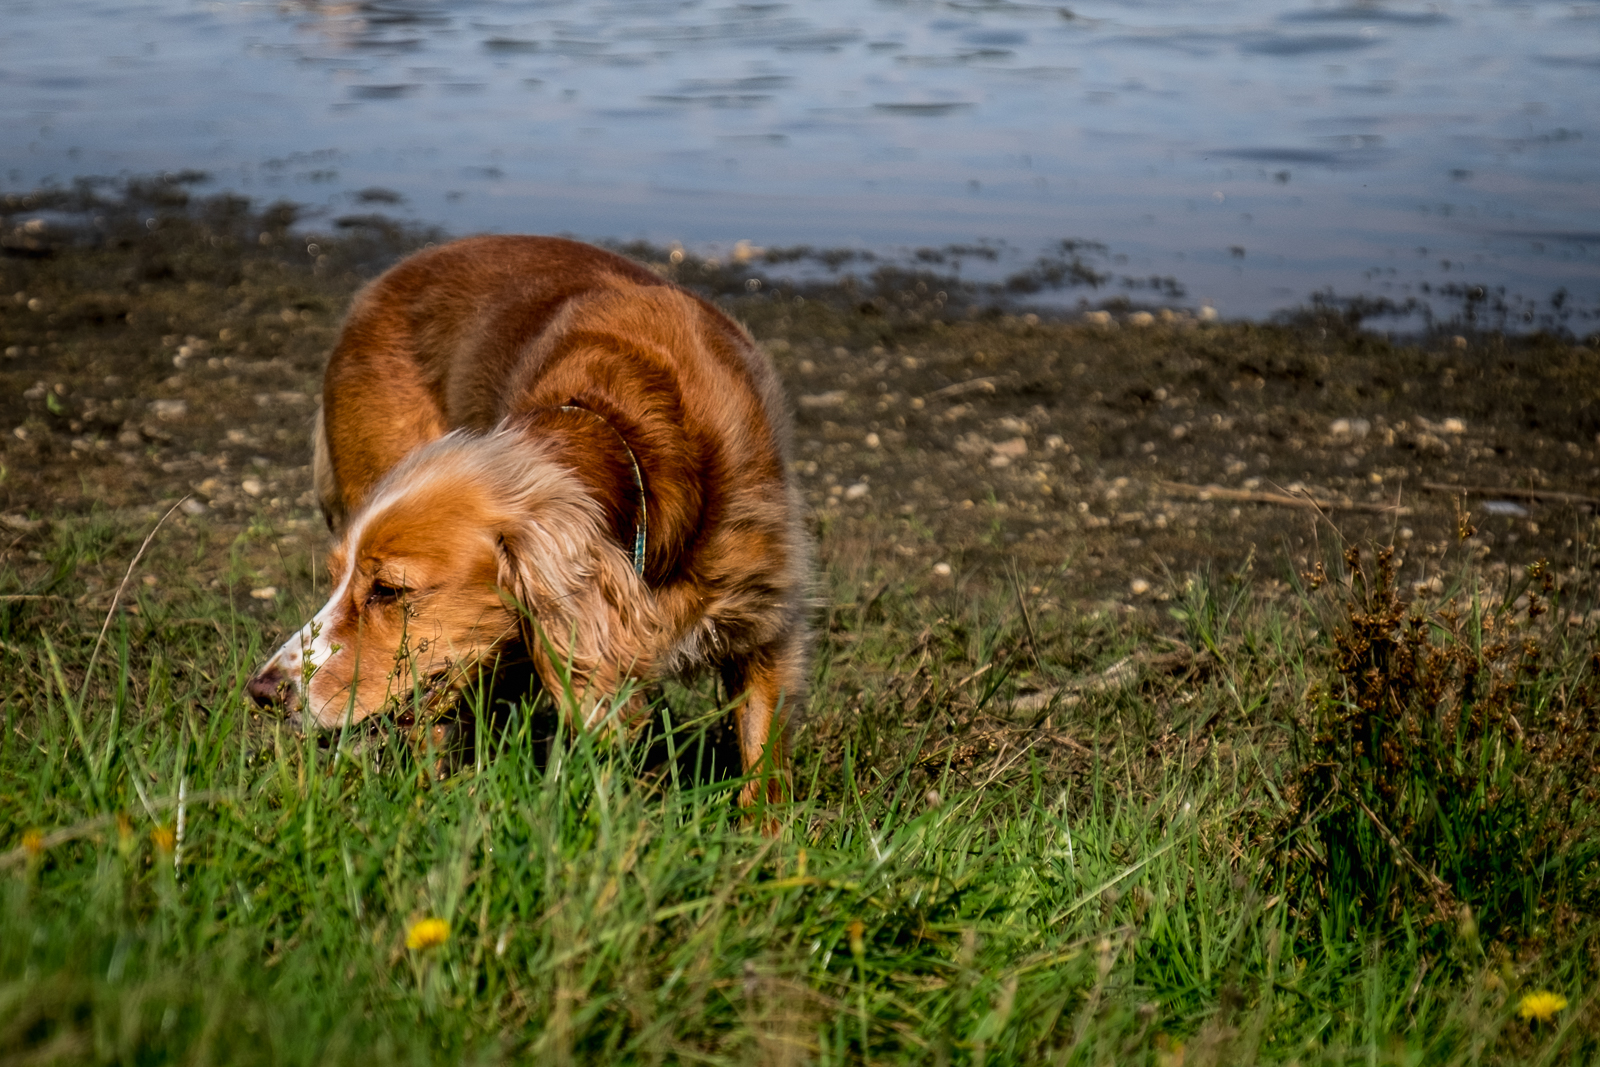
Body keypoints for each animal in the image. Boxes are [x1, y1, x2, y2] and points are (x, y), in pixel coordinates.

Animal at [248, 233, 812, 799]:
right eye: (336, 580)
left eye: (388, 590)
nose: (262, 691)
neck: (636, 444)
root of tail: (383, 282)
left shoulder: (768, 626)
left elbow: (763, 770)